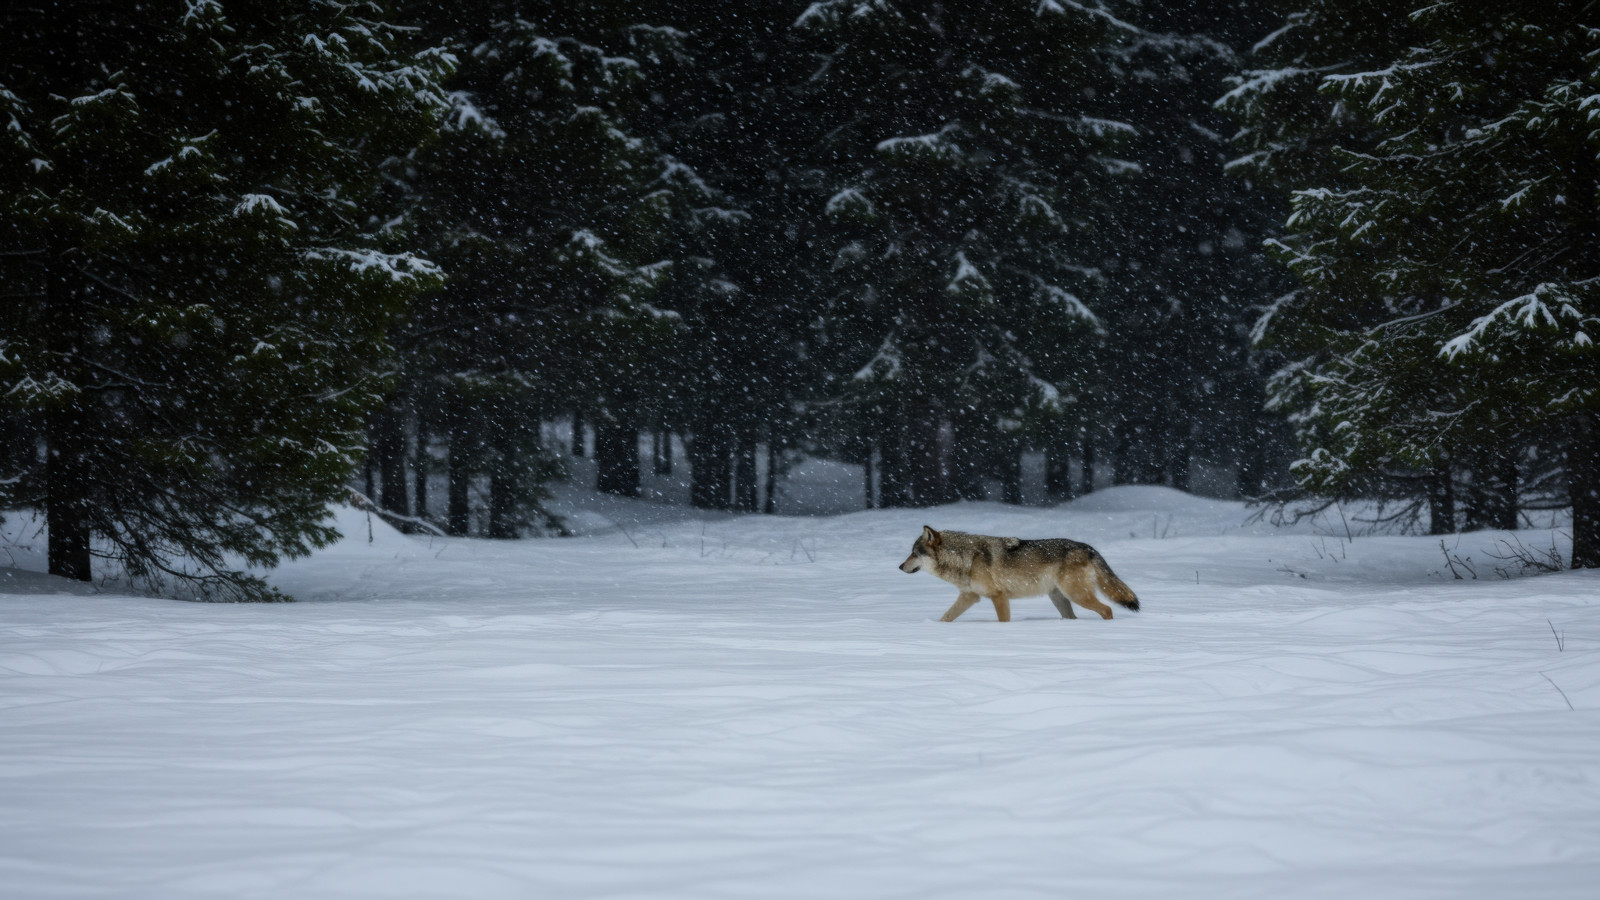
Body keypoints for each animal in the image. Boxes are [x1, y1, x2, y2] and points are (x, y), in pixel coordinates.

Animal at [898, 526, 1140, 622]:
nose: (900, 566)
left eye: (914, 553)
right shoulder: (969, 596)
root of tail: (1088, 547)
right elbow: (946, 617)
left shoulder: (998, 596)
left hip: (1077, 595)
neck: (967, 558)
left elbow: (1003, 621)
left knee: (1107, 609)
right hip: (1060, 599)